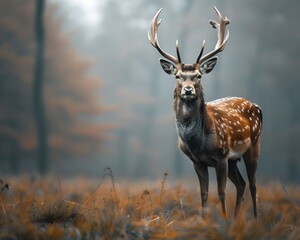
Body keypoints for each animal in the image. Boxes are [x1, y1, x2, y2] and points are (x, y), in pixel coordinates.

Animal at [148, 6, 262, 218]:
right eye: (177, 76)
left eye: (199, 75)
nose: (188, 90)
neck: (198, 143)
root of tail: (256, 105)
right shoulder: (197, 161)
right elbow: (204, 193)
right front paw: (204, 220)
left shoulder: (222, 156)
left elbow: (221, 192)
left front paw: (222, 220)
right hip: (234, 160)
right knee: (241, 185)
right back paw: (236, 219)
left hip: (253, 146)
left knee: (252, 185)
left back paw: (256, 220)